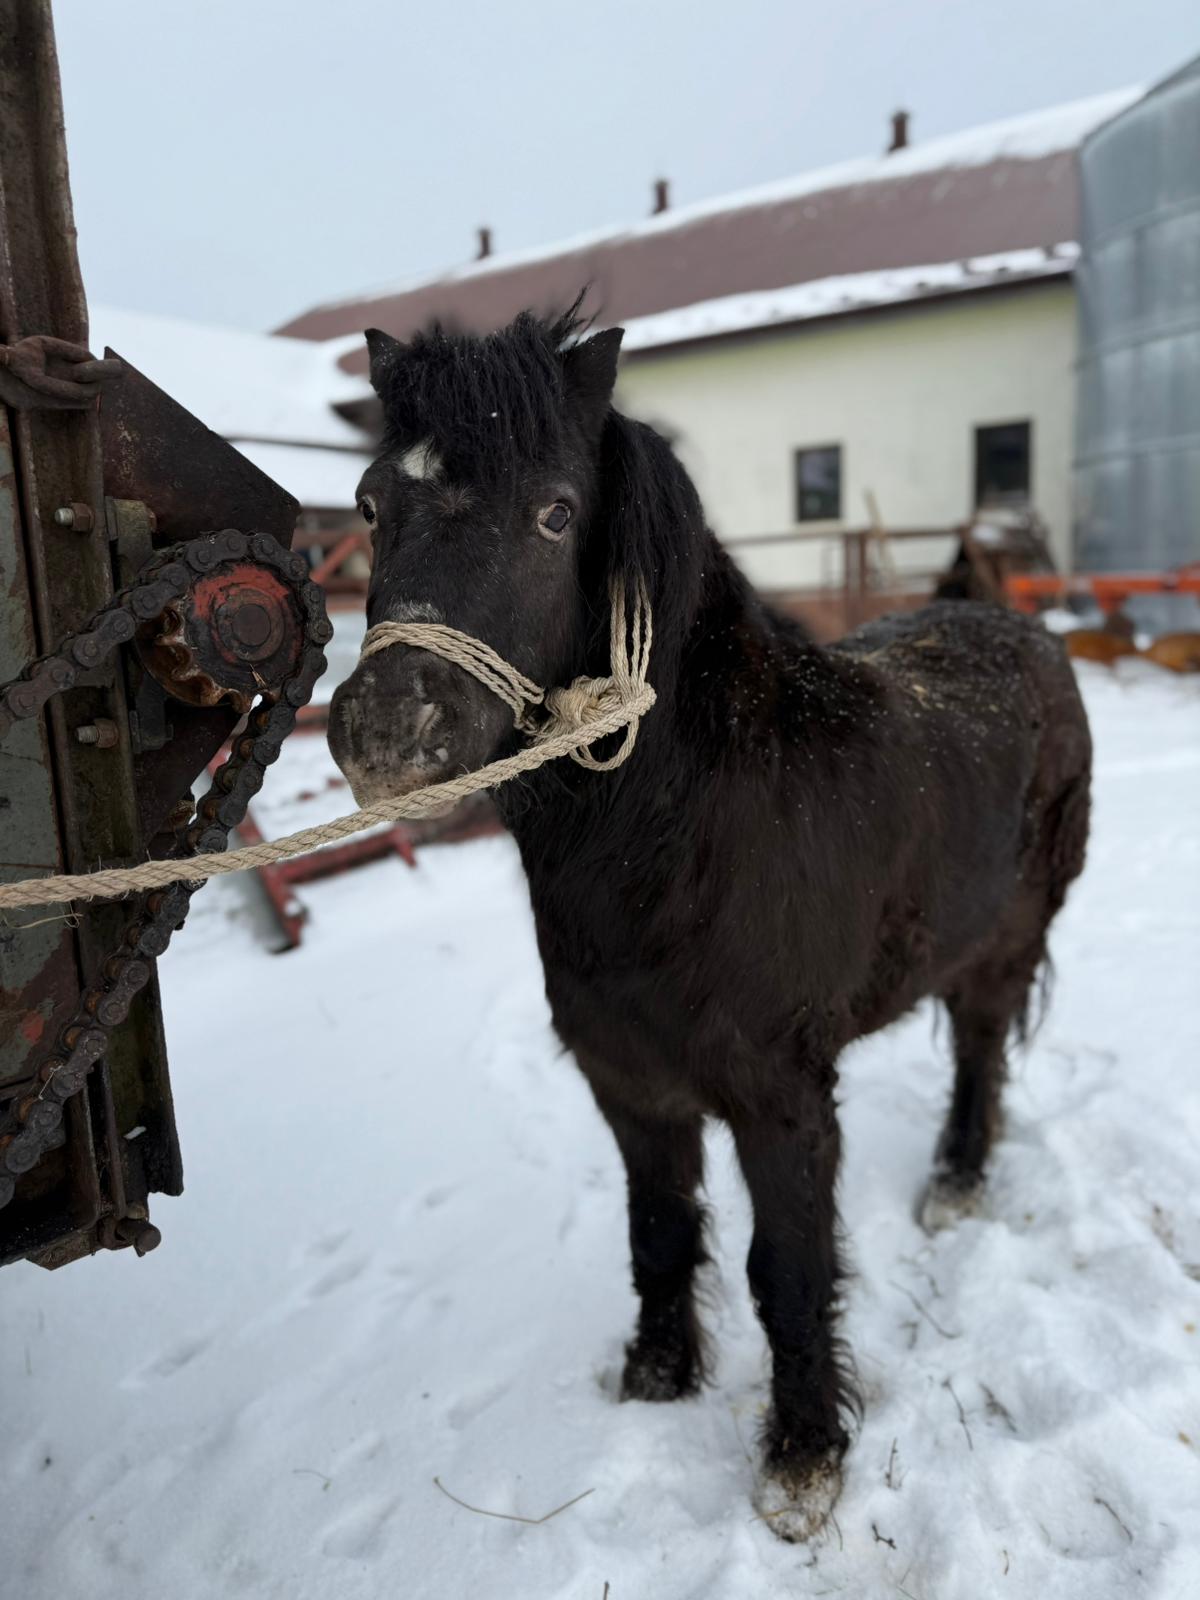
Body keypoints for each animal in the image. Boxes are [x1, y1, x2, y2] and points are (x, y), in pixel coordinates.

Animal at [327, 305, 1092, 1540]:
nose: (389, 732)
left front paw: (802, 1459)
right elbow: (660, 1234)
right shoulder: (631, 1087)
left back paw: (957, 1183)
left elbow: (788, 1269)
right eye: (366, 504)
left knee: (980, 1051)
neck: (693, 833)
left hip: (1005, 944)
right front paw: (656, 1376)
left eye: (555, 510)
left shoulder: (781, 1101)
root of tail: (1024, 630)